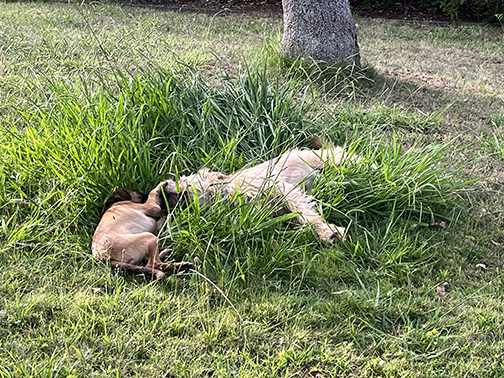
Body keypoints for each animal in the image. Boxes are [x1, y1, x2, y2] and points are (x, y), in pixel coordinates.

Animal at [161, 138, 362, 242]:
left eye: (181, 179)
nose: (162, 188)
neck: (228, 194)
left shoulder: (283, 190)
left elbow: (306, 214)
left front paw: (328, 231)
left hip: (327, 159)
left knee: (346, 155)